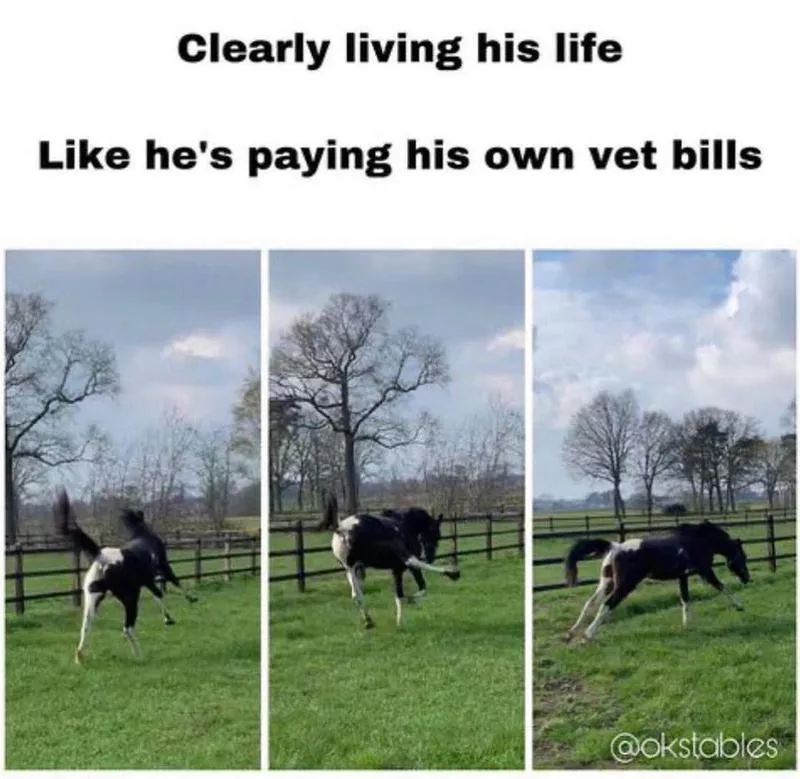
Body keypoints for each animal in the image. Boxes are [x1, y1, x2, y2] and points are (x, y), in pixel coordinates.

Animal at [54, 488, 194, 664]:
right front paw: (187, 602)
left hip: (93, 599)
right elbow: (174, 585)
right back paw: (140, 654)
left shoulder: (148, 581)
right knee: (127, 627)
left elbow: (159, 595)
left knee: (86, 627)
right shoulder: (163, 569)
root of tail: (100, 555)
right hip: (131, 597)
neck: (143, 535)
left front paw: (168, 618)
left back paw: (79, 657)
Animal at [326, 496, 462, 632]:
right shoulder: (403, 566)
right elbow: (421, 588)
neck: (406, 524)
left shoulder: (396, 569)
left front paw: (399, 623)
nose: (430, 557)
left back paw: (368, 621)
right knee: (412, 561)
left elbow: (399, 595)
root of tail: (343, 529)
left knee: (356, 594)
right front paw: (409, 602)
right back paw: (452, 573)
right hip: (395, 553)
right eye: (435, 533)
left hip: (352, 568)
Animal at [564, 520, 752, 644]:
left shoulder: (682, 576)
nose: (747, 579)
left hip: (606, 582)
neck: (699, 540)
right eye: (743, 557)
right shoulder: (705, 571)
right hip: (624, 585)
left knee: (590, 603)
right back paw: (587, 636)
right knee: (606, 606)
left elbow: (685, 600)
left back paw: (572, 632)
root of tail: (615, 547)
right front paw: (740, 606)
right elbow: (722, 587)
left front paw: (687, 625)